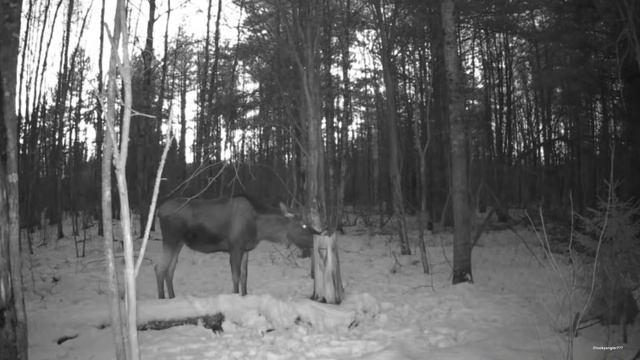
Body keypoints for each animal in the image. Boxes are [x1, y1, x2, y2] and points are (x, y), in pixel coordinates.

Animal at [155, 194, 316, 298]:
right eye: (303, 225)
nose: (316, 237)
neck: (259, 229)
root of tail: (158, 211)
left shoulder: (246, 249)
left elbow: (245, 275)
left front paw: (244, 294)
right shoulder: (235, 247)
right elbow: (236, 276)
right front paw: (235, 295)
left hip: (179, 243)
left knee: (170, 269)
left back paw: (172, 297)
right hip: (170, 238)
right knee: (160, 267)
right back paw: (162, 298)